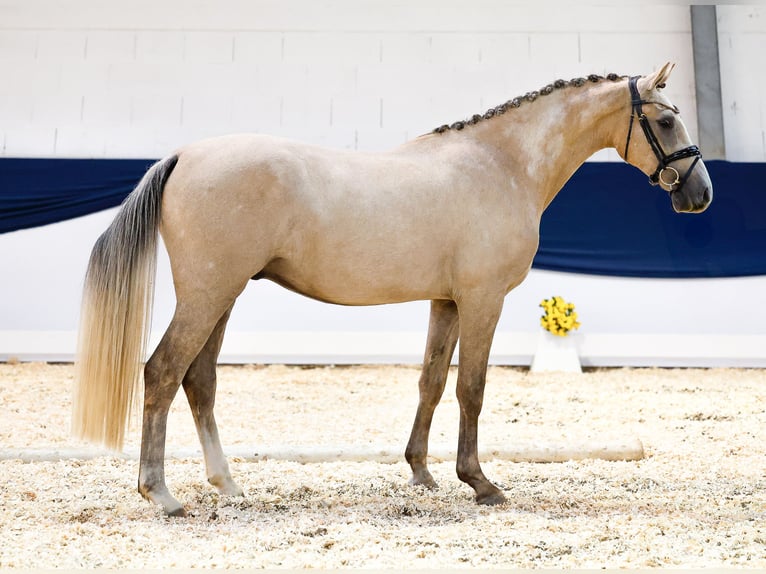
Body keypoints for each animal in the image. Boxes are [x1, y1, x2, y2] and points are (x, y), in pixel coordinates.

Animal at [70, 62, 712, 516]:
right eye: (664, 120)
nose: (700, 193)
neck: (500, 164)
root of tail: (184, 156)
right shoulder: (483, 300)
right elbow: (472, 388)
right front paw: (480, 483)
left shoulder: (446, 301)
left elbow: (431, 383)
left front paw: (422, 474)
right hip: (206, 296)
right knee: (162, 372)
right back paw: (160, 493)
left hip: (222, 297)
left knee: (198, 381)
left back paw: (226, 484)